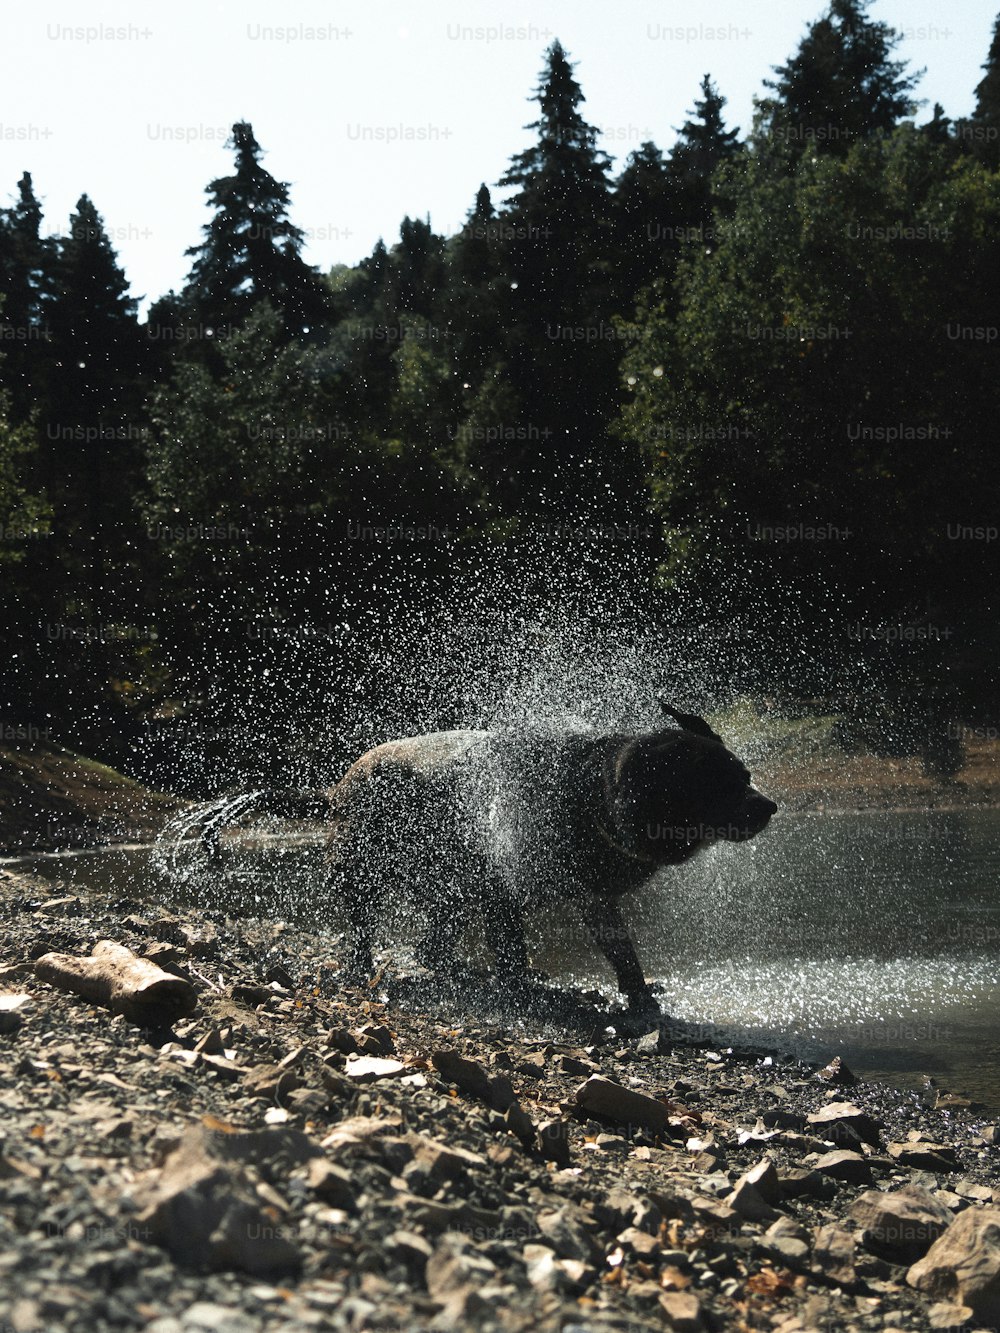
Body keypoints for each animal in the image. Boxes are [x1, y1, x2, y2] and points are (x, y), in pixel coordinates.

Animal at [233, 714, 773, 1013]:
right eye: (716, 786)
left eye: (744, 776)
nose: (768, 806)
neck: (590, 800)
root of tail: (337, 787)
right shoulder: (502, 891)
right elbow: (513, 952)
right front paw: (524, 992)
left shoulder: (595, 899)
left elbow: (622, 953)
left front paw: (640, 998)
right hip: (364, 872)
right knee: (364, 930)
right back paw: (366, 966)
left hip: (449, 889)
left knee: (431, 945)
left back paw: (460, 971)